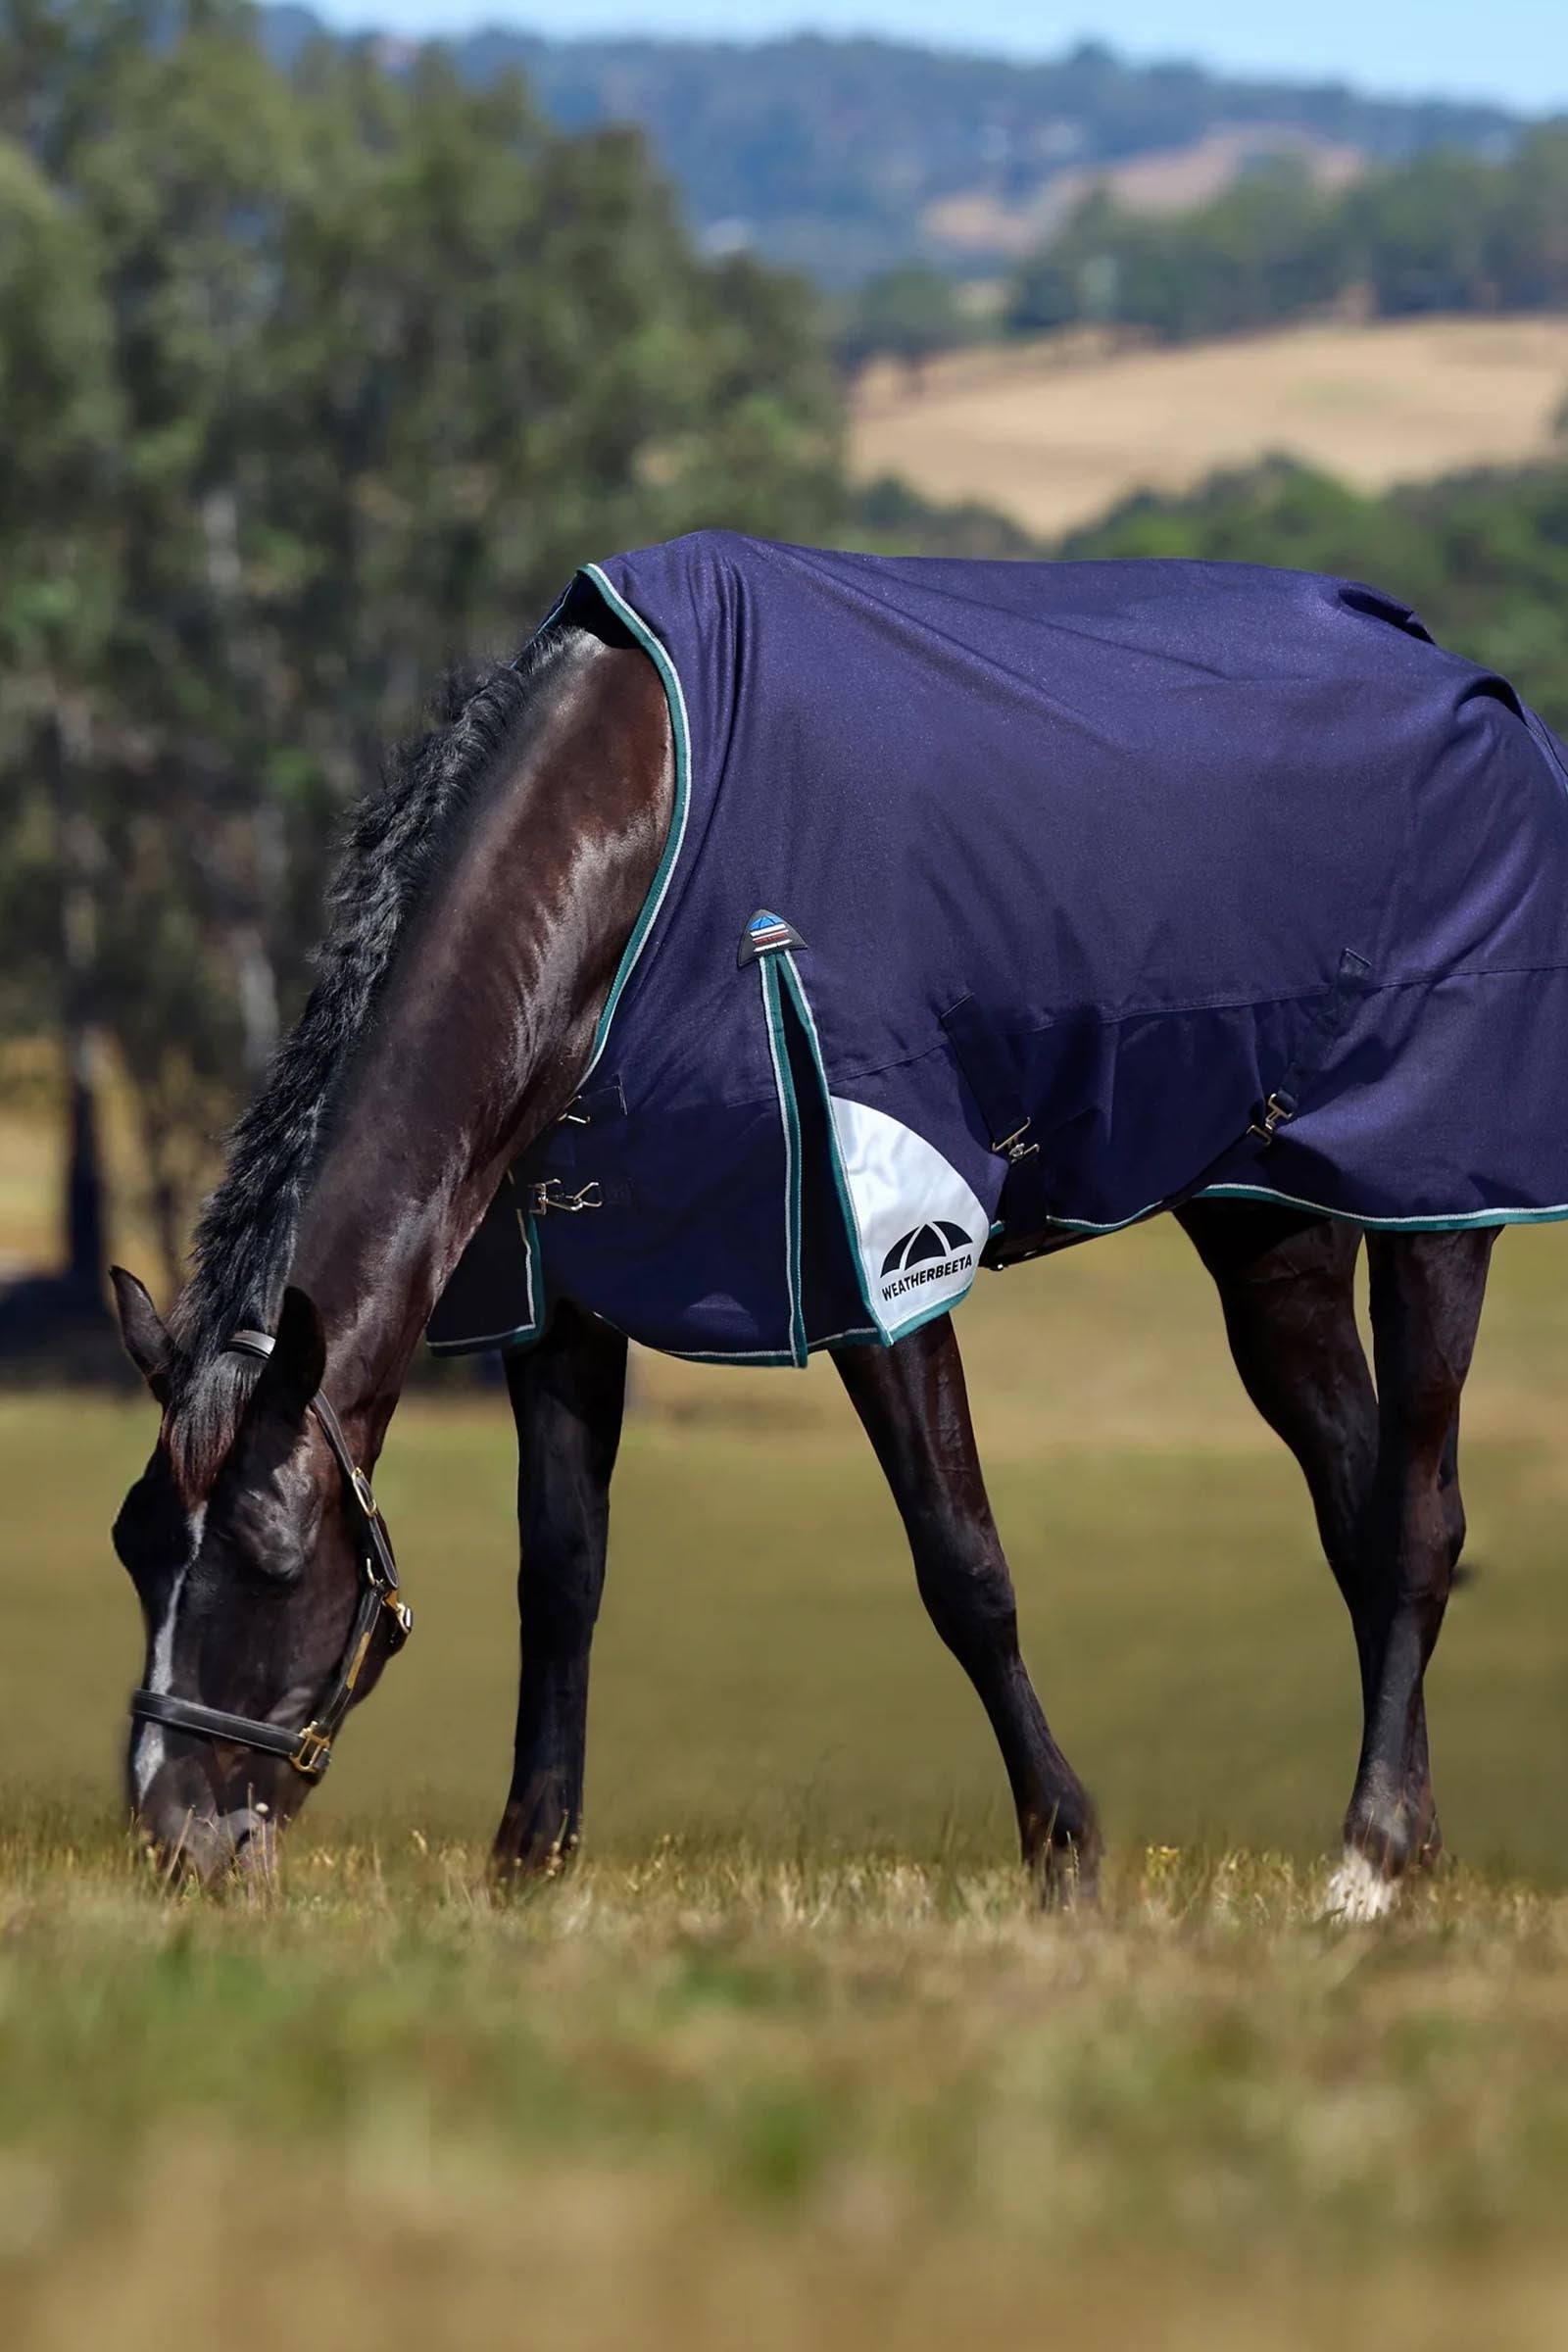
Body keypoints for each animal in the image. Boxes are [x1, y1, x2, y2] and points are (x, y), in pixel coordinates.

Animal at [110, 534, 1548, 1913]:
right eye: (133, 1548)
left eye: (269, 1558)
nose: (175, 1843)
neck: (639, 840)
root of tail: (1466, 681)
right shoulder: (562, 1283)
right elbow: (561, 1570)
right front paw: (528, 1865)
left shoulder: (885, 1252)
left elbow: (962, 1565)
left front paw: (1065, 1853)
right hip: (1271, 1222)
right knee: (1358, 1508)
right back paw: (1407, 1844)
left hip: (1438, 1202)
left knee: (1419, 1519)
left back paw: (1370, 1859)